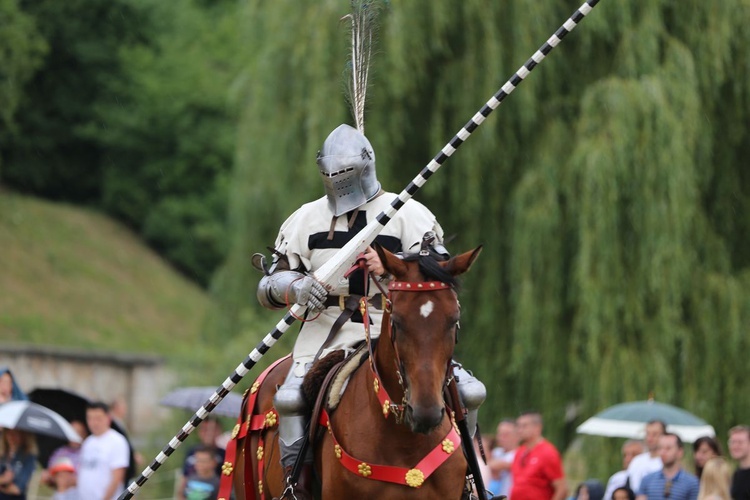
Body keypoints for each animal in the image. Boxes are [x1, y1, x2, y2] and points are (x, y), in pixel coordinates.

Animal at [223, 241, 482, 496]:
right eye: (396, 321)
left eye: (454, 320)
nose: (425, 413)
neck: (404, 441)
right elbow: (279, 275)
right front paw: (308, 288)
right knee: (290, 399)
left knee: (473, 392)